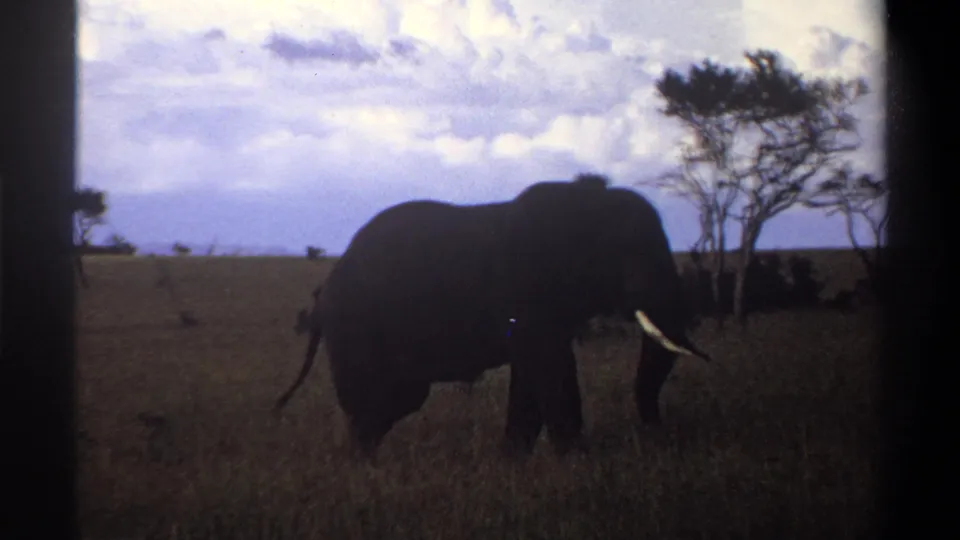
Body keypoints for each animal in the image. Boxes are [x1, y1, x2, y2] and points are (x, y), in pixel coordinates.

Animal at [273, 174, 711, 458]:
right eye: (629, 256)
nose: (658, 435)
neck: (583, 204)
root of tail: (324, 290)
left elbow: (533, 375)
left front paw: (516, 461)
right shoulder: (531, 294)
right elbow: (552, 370)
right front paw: (576, 461)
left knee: (395, 400)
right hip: (357, 329)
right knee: (373, 401)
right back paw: (363, 467)